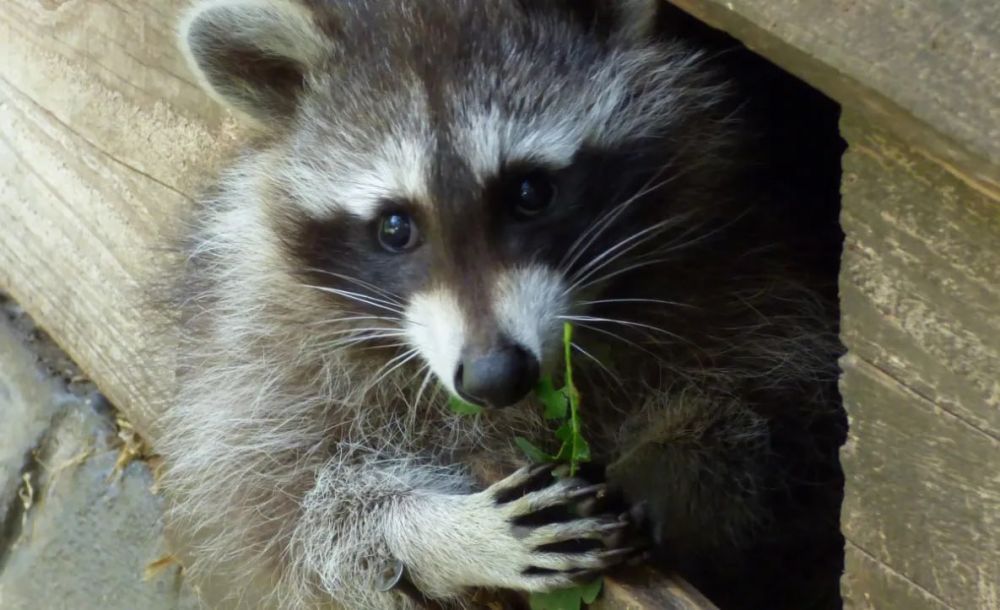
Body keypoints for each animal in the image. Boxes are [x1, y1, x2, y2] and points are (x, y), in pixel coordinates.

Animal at [162, 1, 844, 608]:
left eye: (530, 191)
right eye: (394, 227)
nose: (495, 376)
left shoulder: (741, 254)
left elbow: (787, 403)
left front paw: (681, 458)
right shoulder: (258, 343)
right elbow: (289, 514)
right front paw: (444, 534)